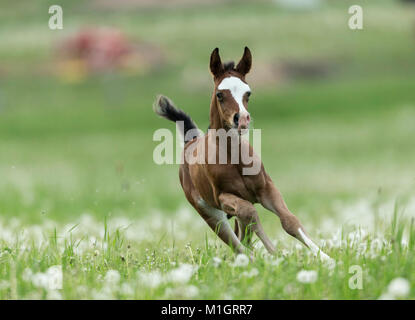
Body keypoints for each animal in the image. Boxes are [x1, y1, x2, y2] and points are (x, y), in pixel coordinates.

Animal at [154, 47, 332, 260]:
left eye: (248, 93)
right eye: (220, 94)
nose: (243, 119)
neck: (235, 160)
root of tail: (191, 141)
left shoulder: (267, 188)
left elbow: (289, 221)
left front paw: (326, 258)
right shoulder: (223, 197)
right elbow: (250, 214)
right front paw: (275, 255)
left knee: (242, 237)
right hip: (210, 214)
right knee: (235, 242)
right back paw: (253, 259)